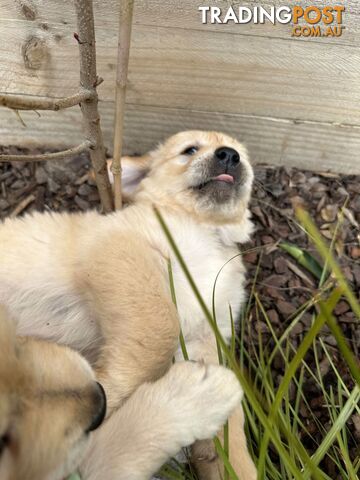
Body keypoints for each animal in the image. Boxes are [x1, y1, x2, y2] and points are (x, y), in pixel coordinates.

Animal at [0, 131, 258, 480]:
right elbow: (160, 327)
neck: (206, 230)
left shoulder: (206, 337)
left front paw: (236, 466)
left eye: (243, 156)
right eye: (190, 150)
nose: (230, 155)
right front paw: (114, 390)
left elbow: (231, 426)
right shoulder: (124, 247)